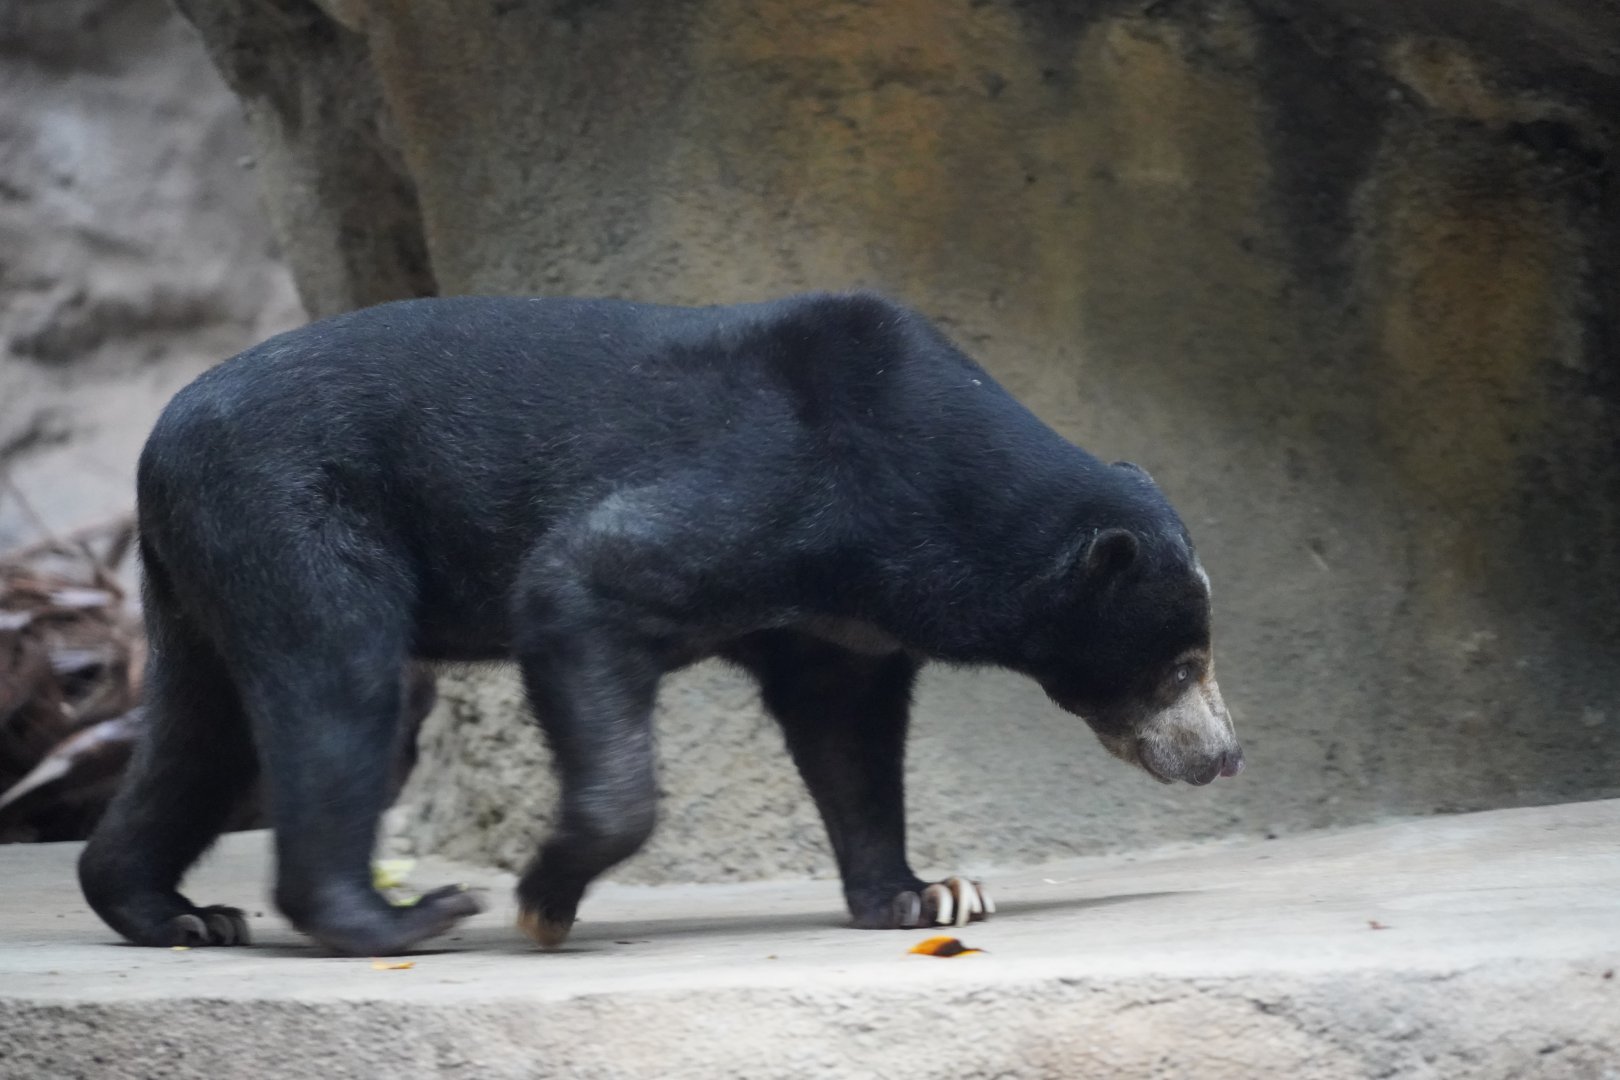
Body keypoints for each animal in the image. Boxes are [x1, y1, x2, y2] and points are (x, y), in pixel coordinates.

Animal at [78, 291, 1242, 956]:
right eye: (1181, 665)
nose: (1225, 756)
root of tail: (156, 443)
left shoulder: (841, 622)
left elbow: (849, 739)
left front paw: (929, 896)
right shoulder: (767, 484)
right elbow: (576, 582)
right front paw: (544, 901)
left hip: (204, 570)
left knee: (206, 731)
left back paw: (169, 909)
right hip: (294, 509)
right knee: (338, 683)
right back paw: (401, 917)